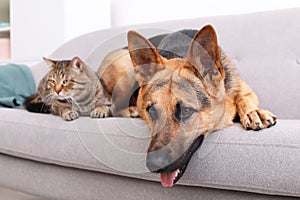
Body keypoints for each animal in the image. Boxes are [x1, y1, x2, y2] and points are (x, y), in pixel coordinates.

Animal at [96, 25, 276, 188]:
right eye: (151, 110)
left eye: (186, 111)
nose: (154, 166)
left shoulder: (246, 91)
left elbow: (243, 98)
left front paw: (253, 112)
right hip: (125, 65)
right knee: (112, 104)